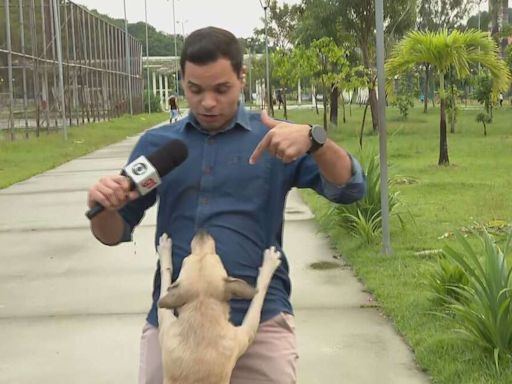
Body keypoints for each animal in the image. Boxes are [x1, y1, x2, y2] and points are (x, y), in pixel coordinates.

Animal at [157, 231, 282, 384]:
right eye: (218, 258)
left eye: (186, 259)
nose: (201, 231)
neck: (201, 309)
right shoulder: (246, 334)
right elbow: (259, 292)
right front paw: (269, 264)